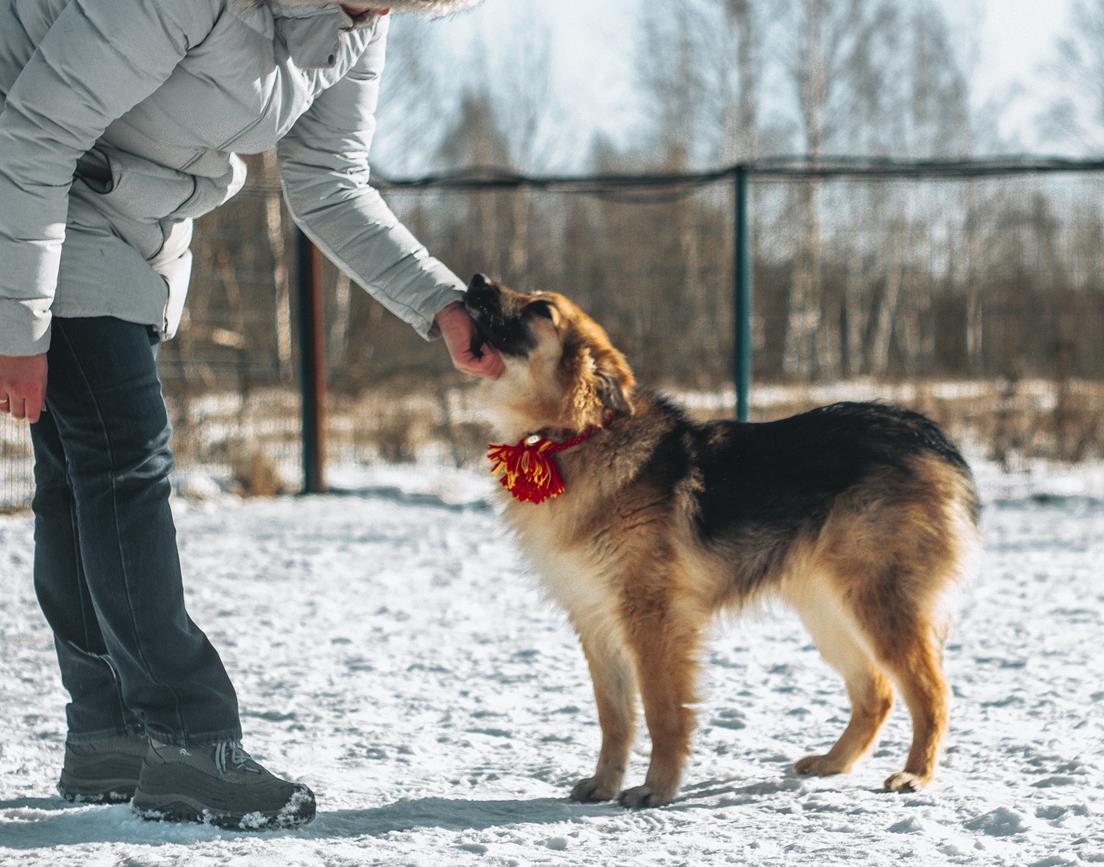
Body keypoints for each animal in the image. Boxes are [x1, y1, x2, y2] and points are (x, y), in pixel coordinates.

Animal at [461, 273, 980, 808]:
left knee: (931, 692)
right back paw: (833, 764)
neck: (574, 435)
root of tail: (928, 434)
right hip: (829, 608)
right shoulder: (595, 620)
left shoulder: (654, 621)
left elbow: (663, 713)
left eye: (540, 308)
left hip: (878, 605)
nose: (476, 281)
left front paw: (657, 788)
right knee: (877, 692)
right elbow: (615, 718)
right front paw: (604, 784)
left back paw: (916, 773)